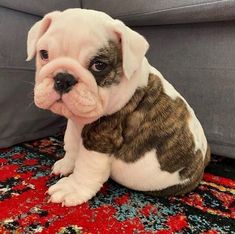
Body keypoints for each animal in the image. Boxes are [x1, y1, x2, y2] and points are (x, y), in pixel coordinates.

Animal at [26, 8, 210, 207]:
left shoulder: (101, 136)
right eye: (44, 54)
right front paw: (67, 164)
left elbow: (86, 166)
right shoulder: (76, 125)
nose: (63, 78)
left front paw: (72, 188)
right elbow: (72, 143)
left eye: (99, 65)